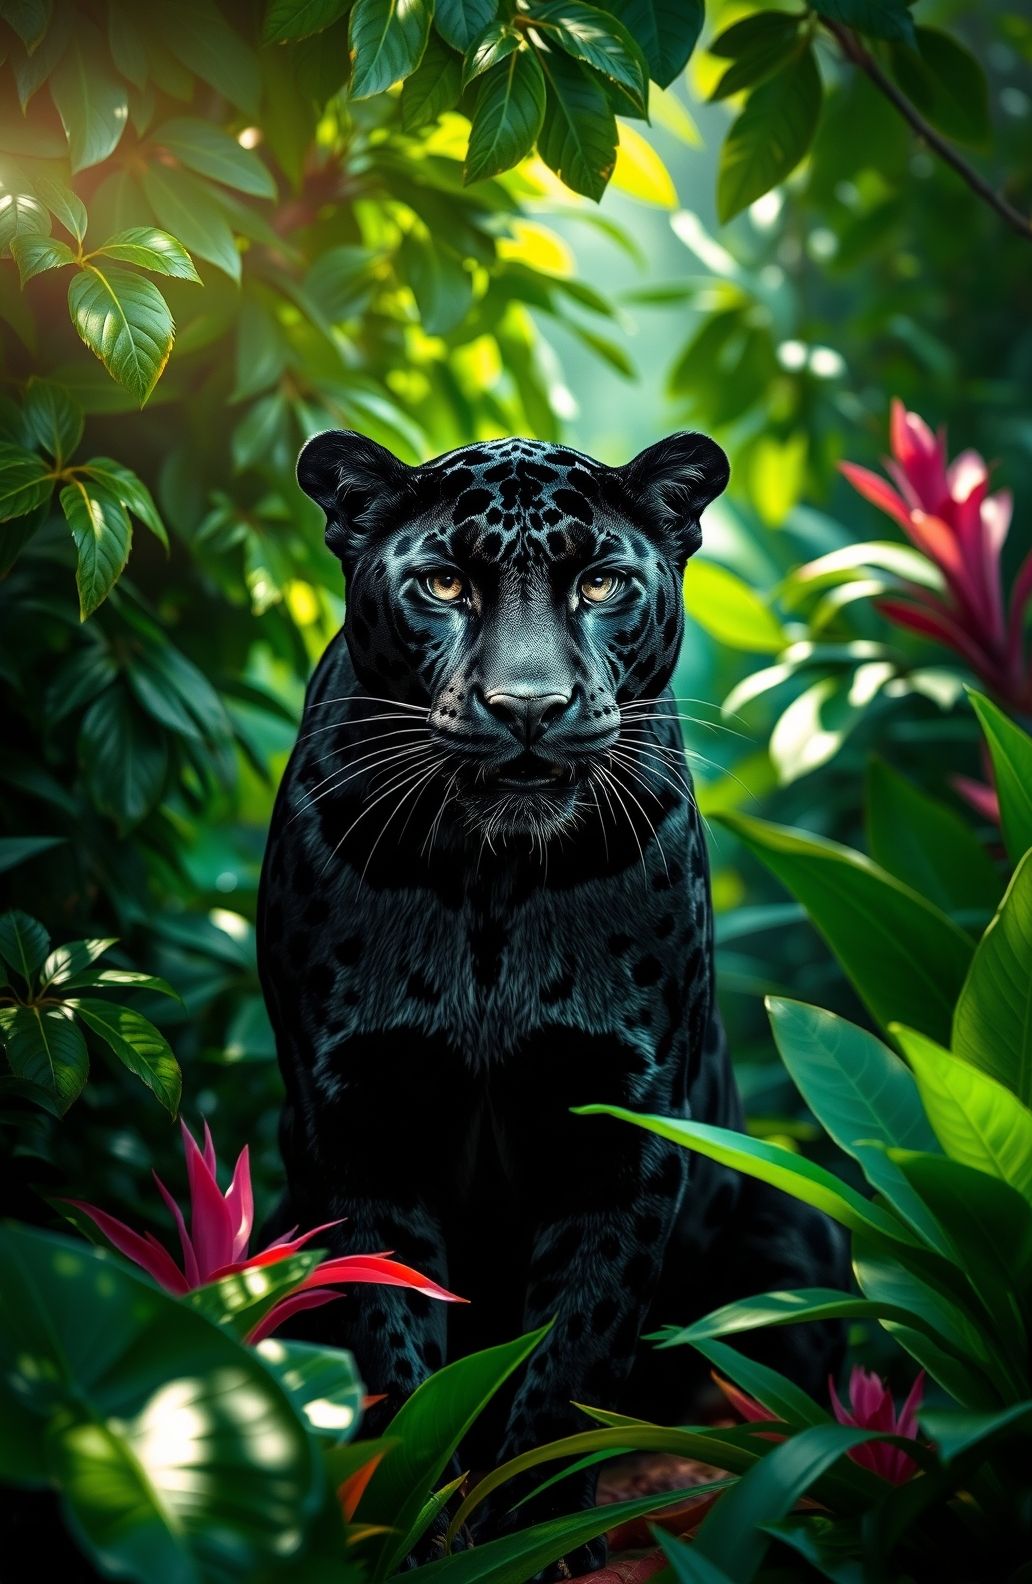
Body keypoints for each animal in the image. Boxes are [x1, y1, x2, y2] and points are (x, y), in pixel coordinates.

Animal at [257, 429, 847, 1579]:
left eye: (602, 583)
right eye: (444, 584)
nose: (527, 707)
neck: (490, 878)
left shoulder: (625, 1128)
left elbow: (575, 1350)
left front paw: (531, 1527)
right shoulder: (349, 1125)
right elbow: (394, 1337)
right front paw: (413, 1517)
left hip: (791, 1228)